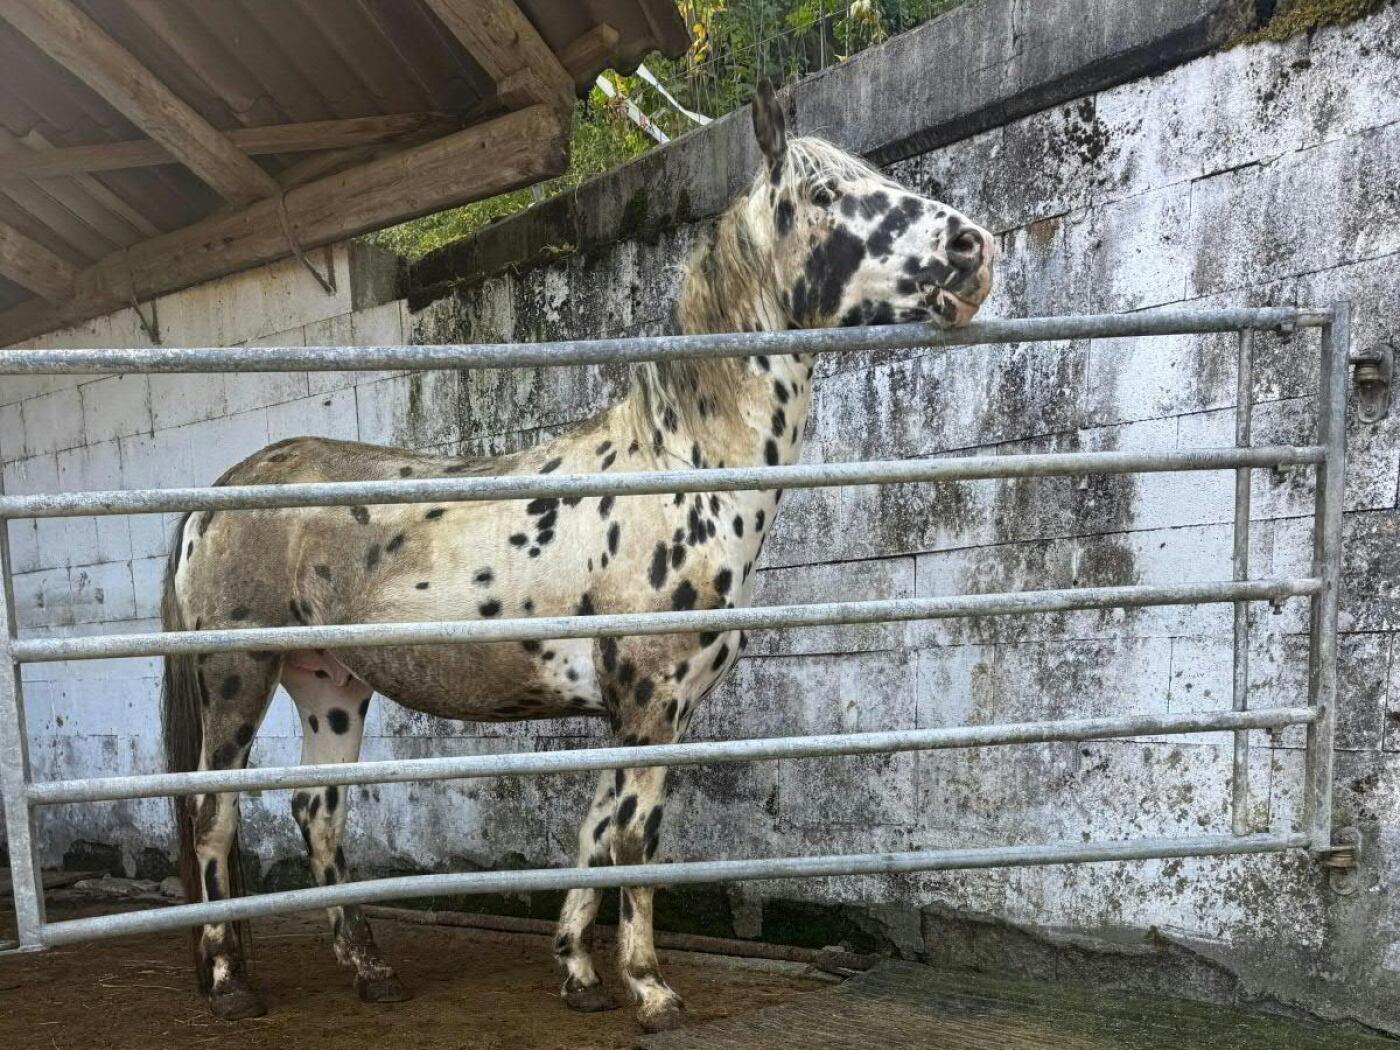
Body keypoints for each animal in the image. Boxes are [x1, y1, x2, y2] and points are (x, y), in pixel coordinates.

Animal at [161, 81, 994, 1032]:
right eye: (824, 195)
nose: (974, 249)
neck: (679, 469)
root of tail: (218, 492)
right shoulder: (651, 705)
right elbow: (634, 841)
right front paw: (652, 990)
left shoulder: (639, 714)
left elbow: (595, 836)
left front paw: (581, 974)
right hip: (238, 675)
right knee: (214, 814)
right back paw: (230, 982)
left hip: (329, 685)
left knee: (319, 811)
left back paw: (370, 971)